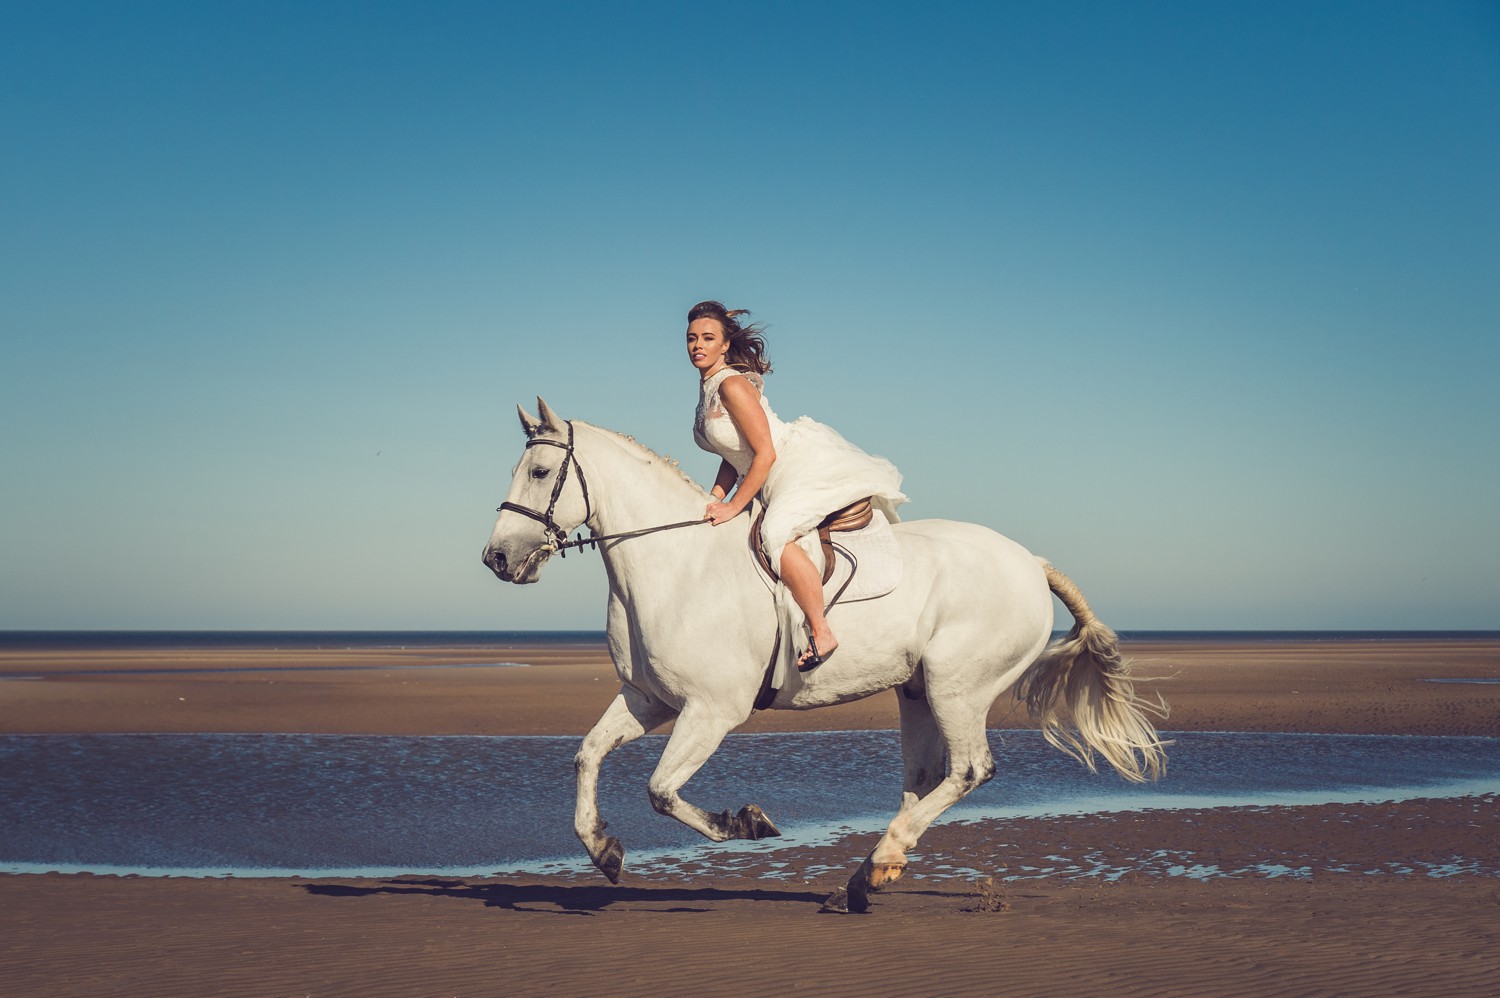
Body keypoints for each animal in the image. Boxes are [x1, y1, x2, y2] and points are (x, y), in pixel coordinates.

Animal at [486, 396, 1164, 912]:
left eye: (540, 472)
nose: (497, 558)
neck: (676, 566)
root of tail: (1029, 562)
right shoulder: (648, 700)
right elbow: (588, 755)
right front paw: (603, 851)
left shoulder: (711, 711)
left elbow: (661, 789)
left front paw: (744, 823)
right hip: (918, 691)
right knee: (924, 779)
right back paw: (868, 877)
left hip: (958, 687)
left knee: (970, 770)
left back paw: (880, 861)